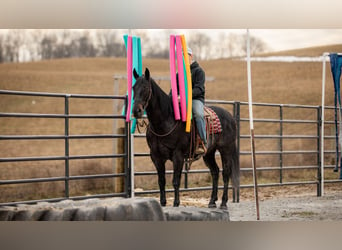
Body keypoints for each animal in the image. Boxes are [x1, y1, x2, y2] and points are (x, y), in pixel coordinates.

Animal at [132, 68, 239, 209]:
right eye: (133, 88)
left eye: (145, 88)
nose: (136, 111)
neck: (167, 120)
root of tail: (230, 117)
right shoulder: (156, 156)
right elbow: (161, 181)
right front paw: (162, 203)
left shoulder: (178, 155)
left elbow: (176, 181)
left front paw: (176, 203)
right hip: (209, 153)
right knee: (215, 172)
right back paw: (212, 201)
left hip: (226, 149)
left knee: (226, 173)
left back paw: (223, 203)